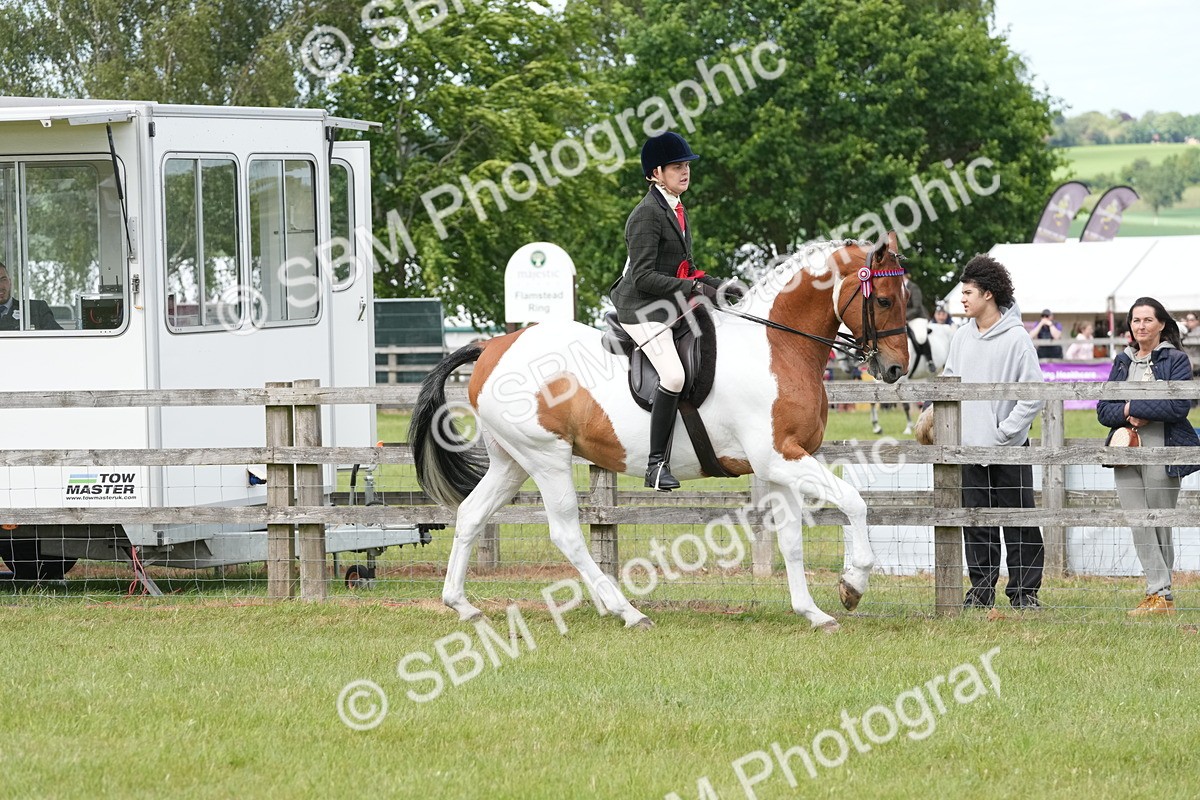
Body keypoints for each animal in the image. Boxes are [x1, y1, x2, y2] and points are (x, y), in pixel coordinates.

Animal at [410, 234, 911, 632]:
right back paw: (627, 611)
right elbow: (855, 502)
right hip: (546, 458)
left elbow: (791, 538)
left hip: (512, 462)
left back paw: (462, 605)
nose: (895, 369)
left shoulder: (783, 461)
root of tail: (492, 346)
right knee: (566, 533)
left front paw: (814, 613)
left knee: (471, 514)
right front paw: (852, 586)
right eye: (884, 299)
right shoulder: (778, 457)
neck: (776, 345)